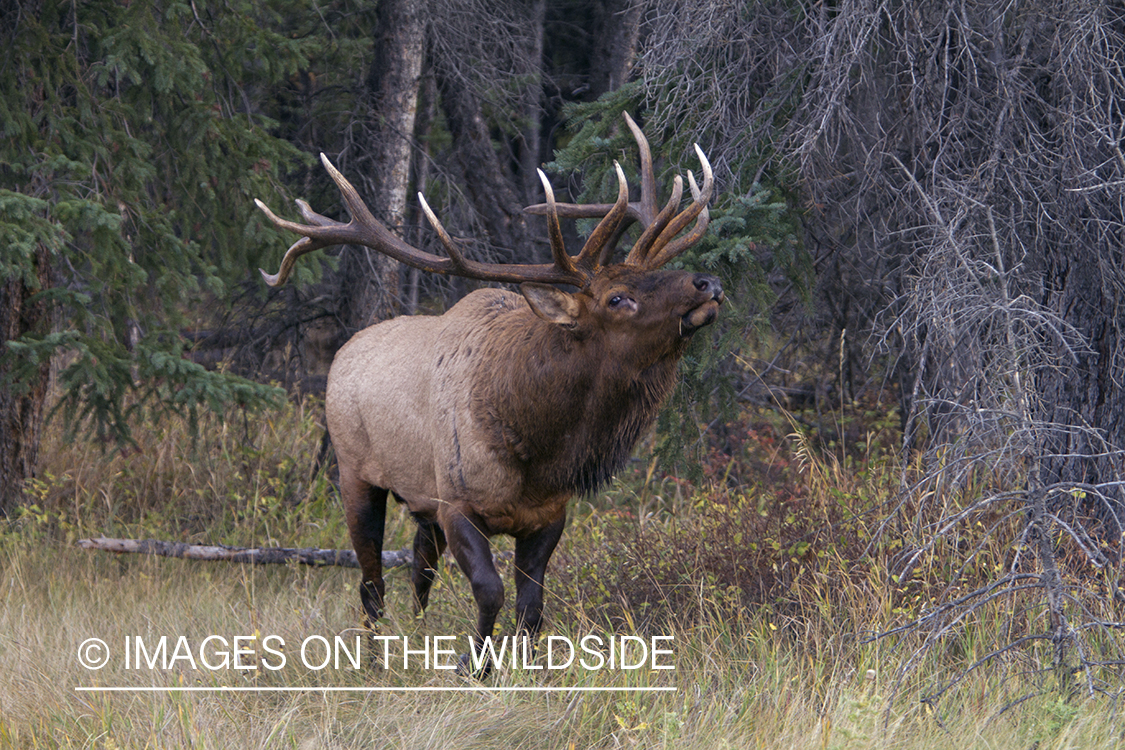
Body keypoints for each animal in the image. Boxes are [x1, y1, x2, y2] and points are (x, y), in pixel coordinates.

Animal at [255, 112, 723, 674]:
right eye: (617, 298)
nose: (707, 282)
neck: (537, 444)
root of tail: (343, 352)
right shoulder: (457, 502)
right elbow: (489, 590)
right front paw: (473, 665)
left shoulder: (548, 513)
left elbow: (532, 605)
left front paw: (523, 666)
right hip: (354, 473)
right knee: (371, 582)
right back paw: (373, 656)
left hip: (421, 497)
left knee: (420, 568)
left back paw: (418, 634)